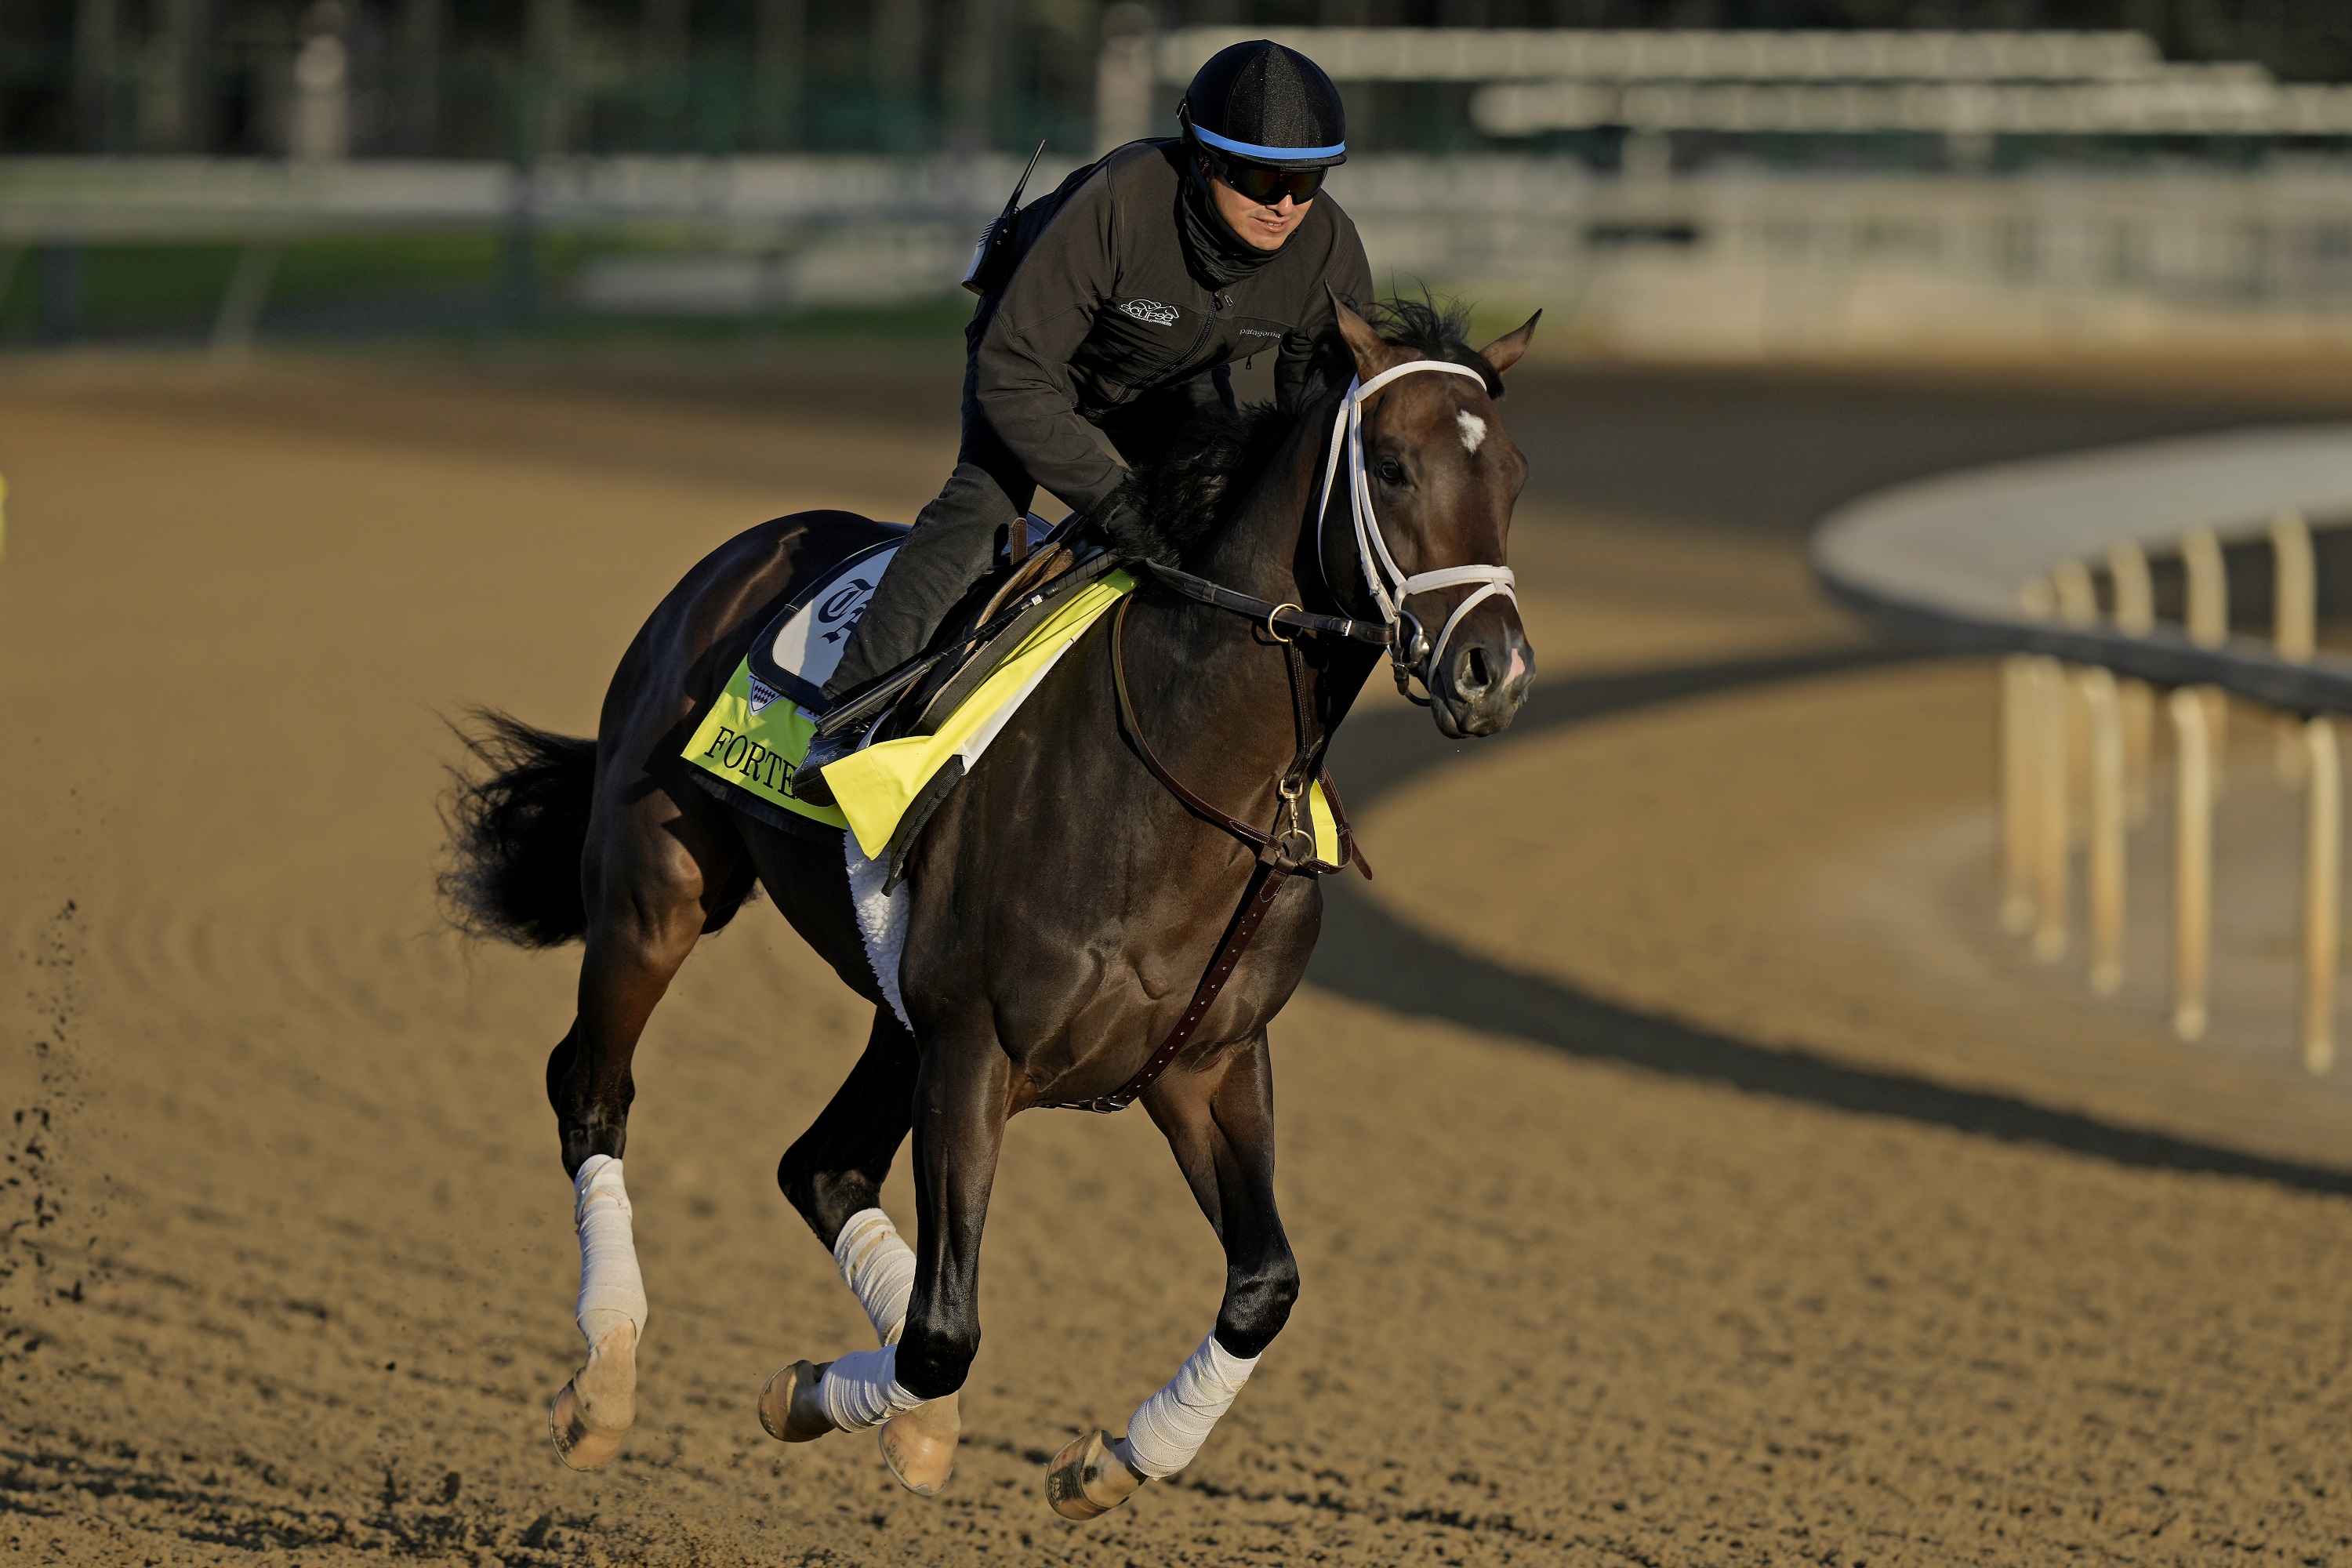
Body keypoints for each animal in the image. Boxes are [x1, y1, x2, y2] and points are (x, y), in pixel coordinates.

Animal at [440, 297, 1538, 1519]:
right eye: (1390, 464)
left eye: (1515, 473)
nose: (1492, 668)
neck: (1178, 773)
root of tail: (735, 555)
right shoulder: (977, 1048)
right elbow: (941, 1336)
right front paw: (832, 1399)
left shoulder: (1209, 1059)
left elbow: (1264, 1285)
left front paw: (1110, 1460)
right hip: (658, 890)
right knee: (591, 1090)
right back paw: (605, 1380)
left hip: (896, 1008)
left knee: (816, 1163)